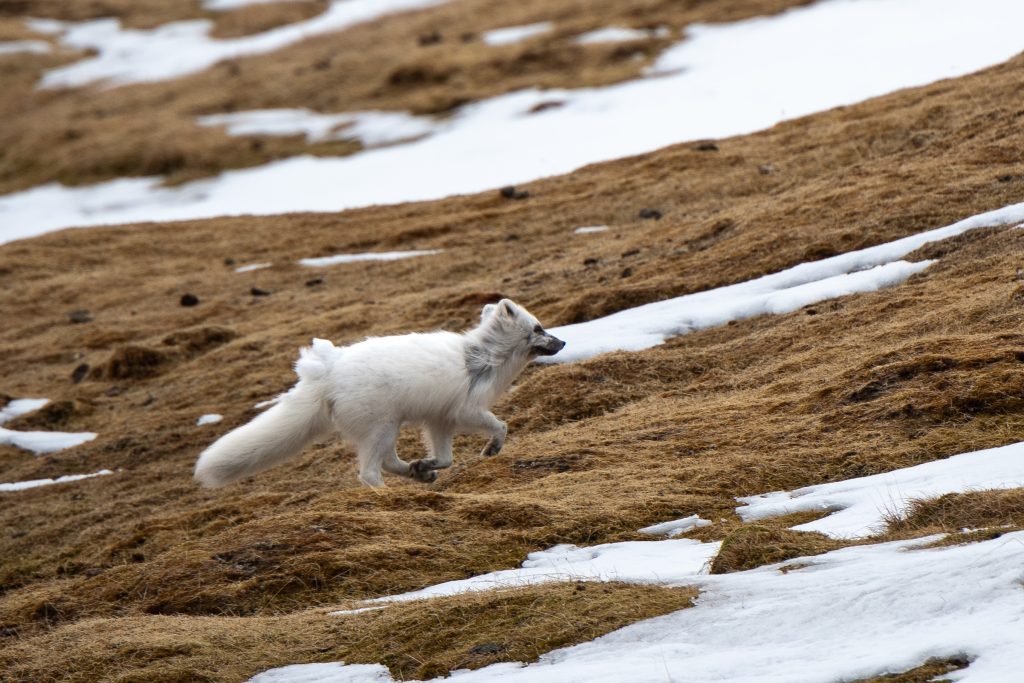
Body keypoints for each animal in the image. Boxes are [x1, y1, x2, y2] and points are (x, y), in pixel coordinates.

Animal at [194, 299, 565, 488]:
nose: (563, 342)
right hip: (381, 426)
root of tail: (326, 374)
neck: (484, 357)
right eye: (538, 328)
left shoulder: (439, 419)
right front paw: (492, 448)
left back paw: (419, 472)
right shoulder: (467, 410)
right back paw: (387, 495)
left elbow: (446, 457)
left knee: (387, 461)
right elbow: (501, 425)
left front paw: (427, 463)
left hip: (388, 426)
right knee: (370, 471)